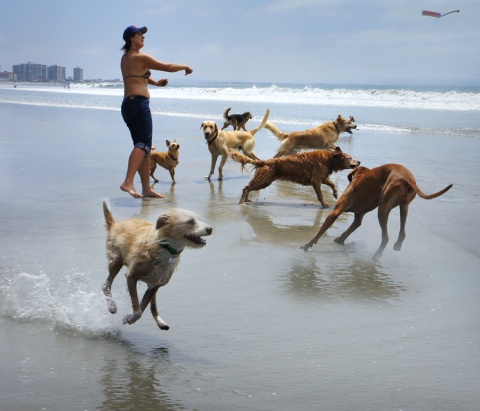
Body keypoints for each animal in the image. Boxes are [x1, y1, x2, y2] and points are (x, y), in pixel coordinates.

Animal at [102, 201, 213, 330]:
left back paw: (160, 322)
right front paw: (129, 318)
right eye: (190, 221)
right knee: (106, 285)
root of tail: (114, 225)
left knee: (152, 305)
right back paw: (112, 306)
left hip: (154, 283)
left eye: (199, 219)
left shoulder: (155, 284)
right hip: (116, 260)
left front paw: (130, 318)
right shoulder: (131, 276)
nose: (210, 229)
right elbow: (138, 310)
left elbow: (142, 307)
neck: (165, 247)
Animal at [230, 146, 360, 208]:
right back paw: (242, 203)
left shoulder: (322, 177)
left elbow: (332, 184)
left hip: (264, 180)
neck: (329, 159)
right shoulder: (316, 180)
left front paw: (335, 194)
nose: (359, 161)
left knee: (248, 188)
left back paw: (246, 200)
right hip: (264, 180)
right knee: (246, 188)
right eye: (350, 158)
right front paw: (324, 205)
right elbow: (320, 195)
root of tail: (264, 161)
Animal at [302, 165, 452, 260]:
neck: (360, 175)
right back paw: (397, 245)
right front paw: (340, 239)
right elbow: (351, 228)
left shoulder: (335, 212)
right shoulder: (358, 217)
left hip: (383, 207)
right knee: (402, 230)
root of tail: (407, 178)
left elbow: (320, 231)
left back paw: (376, 256)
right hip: (404, 206)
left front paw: (307, 244)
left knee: (385, 237)